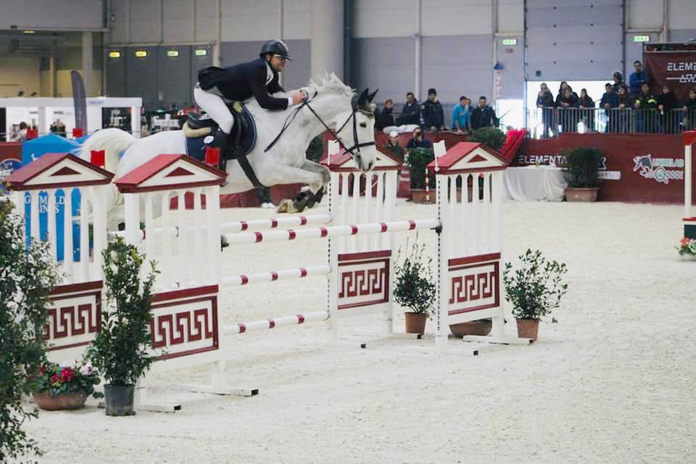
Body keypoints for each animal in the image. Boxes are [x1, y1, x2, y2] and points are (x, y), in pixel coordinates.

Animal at [80, 73, 379, 230]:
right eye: (364, 124)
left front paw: (301, 200)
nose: (370, 164)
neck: (293, 124)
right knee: (110, 216)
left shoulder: (297, 163)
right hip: (147, 202)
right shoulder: (272, 173)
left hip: (158, 200)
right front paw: (296, 201)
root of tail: (134, 145)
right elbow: (317, 177)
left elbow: (323, 173)